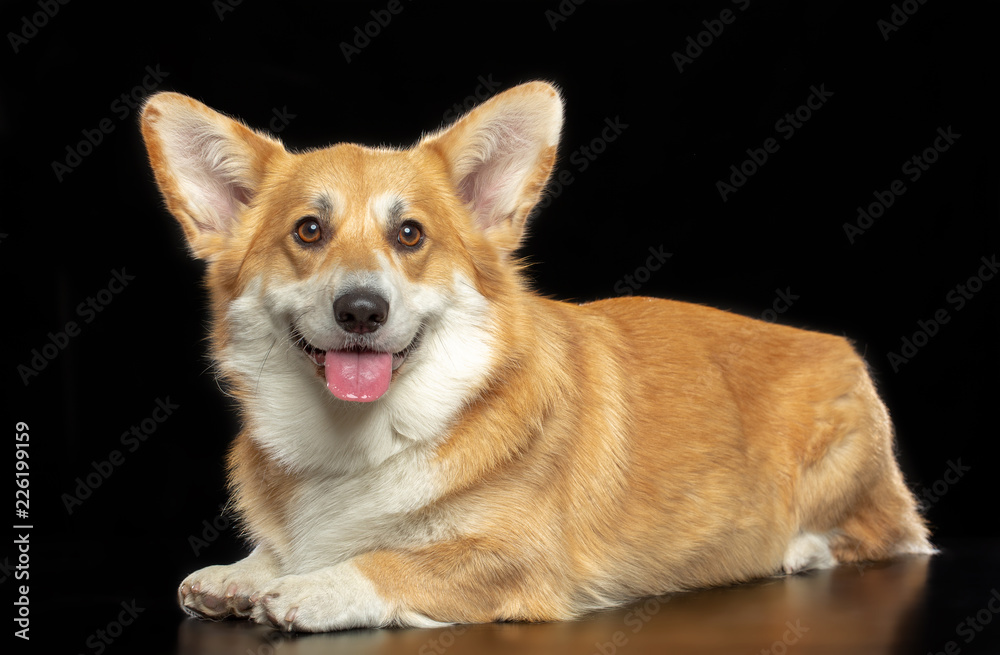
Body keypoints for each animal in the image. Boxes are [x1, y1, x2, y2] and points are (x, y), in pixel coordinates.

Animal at [137, 79, 932, 632]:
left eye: (410, 235)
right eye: (308, 230)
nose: (361, 309)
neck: (361, 437)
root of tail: (833, 344)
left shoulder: (520, 561)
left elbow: (387, 560)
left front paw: (309, 584)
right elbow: (282, 551)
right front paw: (244, 570)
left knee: (888, 535)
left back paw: (798, 548)